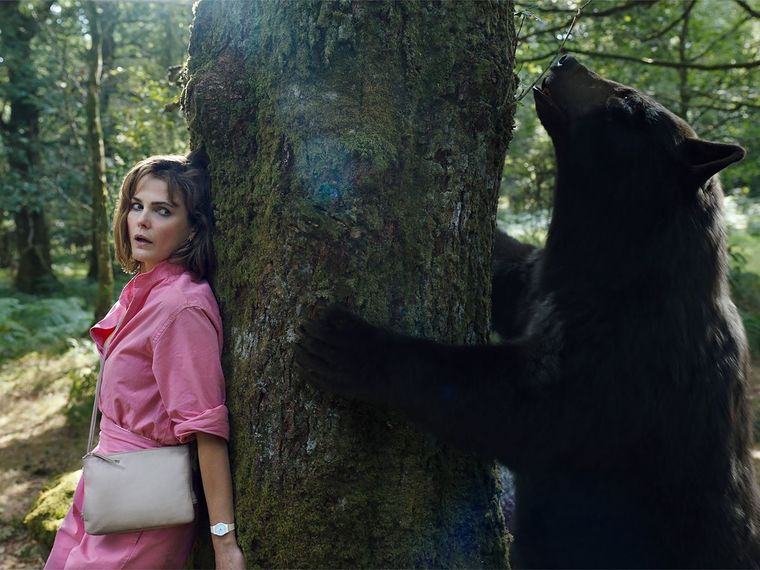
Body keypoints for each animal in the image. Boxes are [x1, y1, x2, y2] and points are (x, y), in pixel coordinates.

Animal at [295, 55, 759, 568]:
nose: (566, 59)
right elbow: (510, 273)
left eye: (628, 104)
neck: (618, 266)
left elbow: (522, 409)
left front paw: (352, 346)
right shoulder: (543, 282)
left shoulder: (632, 359)